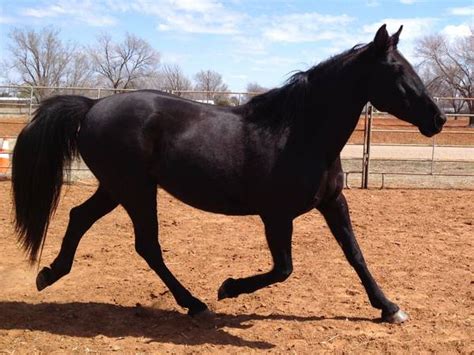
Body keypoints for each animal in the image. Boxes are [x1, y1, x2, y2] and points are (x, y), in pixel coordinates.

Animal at [12, 26, 446, 324]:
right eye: (396, 70)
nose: (438, 119)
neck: (298, 133)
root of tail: (91, 106)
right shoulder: (276, 216)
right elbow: (284, 269)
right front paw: (229, 288)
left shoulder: (332, 202)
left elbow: (355, 254)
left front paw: (389, 308)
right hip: (134, 190)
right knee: (146, 245)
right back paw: (195, 304)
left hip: (117, 188)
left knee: (79, 218)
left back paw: (49, 274)